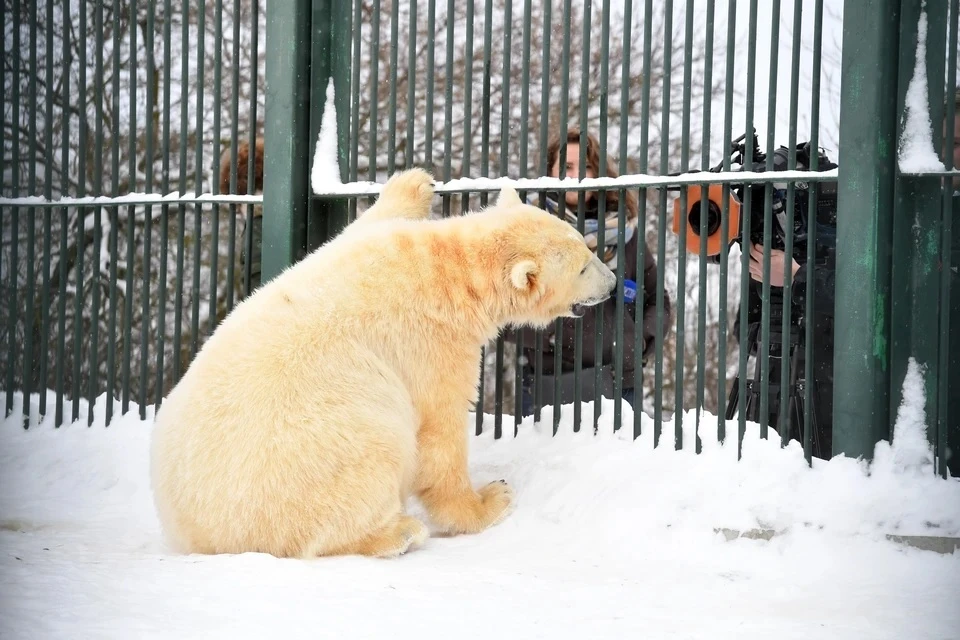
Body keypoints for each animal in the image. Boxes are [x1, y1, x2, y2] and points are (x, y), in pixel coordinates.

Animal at [150, 168, 616, 556]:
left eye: (586, 247)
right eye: (582, 267)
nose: (612, 283)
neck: (451, 273)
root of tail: (194, 532)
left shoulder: (376, 240)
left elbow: (359, 225)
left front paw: (416, 182)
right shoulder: (433, 341)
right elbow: (438, 433)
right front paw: (489, 500)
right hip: (315, 452)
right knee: (365, 465)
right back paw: (399, 533)